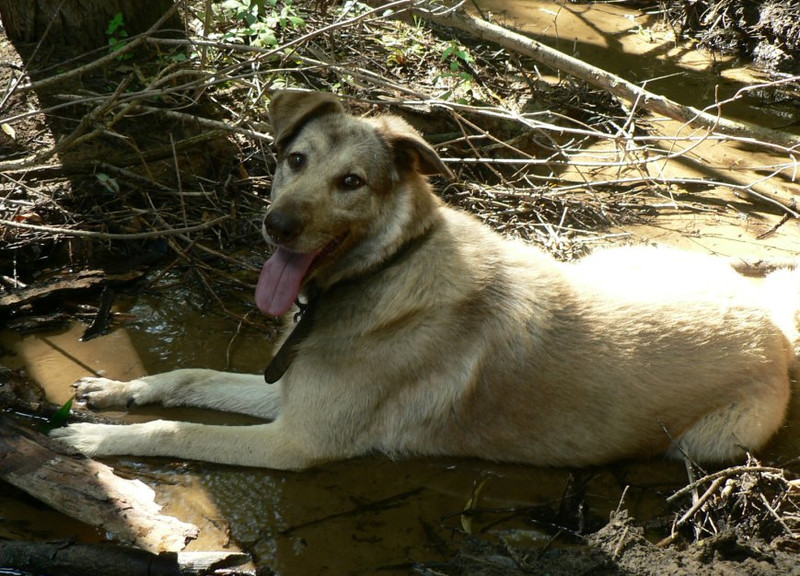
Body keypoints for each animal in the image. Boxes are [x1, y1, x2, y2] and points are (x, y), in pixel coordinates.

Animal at [51, 89, 800, 468]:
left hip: (710, 444)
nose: (277, 227)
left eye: (352, 183)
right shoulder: (288, 393)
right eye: (295, 160)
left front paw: (99, 440)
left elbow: (176, 431)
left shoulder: (297, 443)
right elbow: (192, 377)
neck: (386, 269)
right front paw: (118, 392)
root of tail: (767, 317)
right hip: (614, 259)